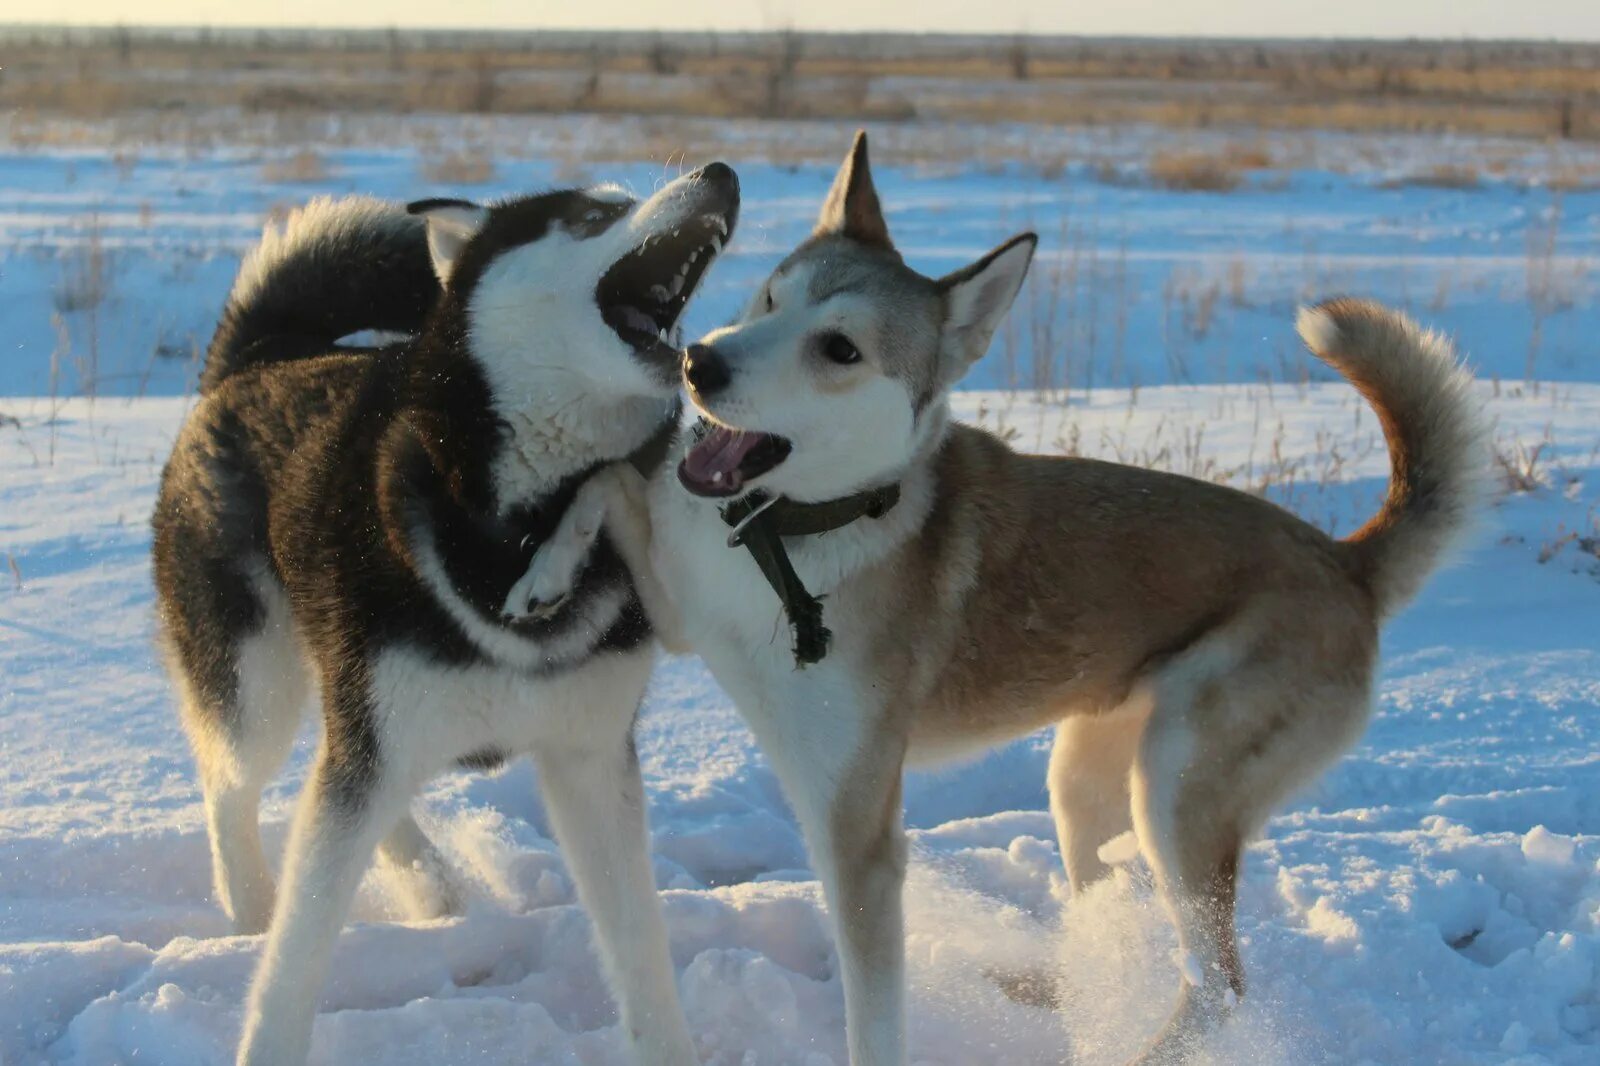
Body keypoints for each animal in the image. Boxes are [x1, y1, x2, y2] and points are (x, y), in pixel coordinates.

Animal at [531, 135, 1491, 1062]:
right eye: (770, 297)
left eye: (839, 349)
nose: (700, 362)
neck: (794, 535)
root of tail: (1345, 561)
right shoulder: (684, 605)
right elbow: (608, 482)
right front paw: (547, 561)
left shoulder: (856, 831)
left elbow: (873, 1023)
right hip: (1087, 782)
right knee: (1116, 908)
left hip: (1178, 788)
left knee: (1221, 984)